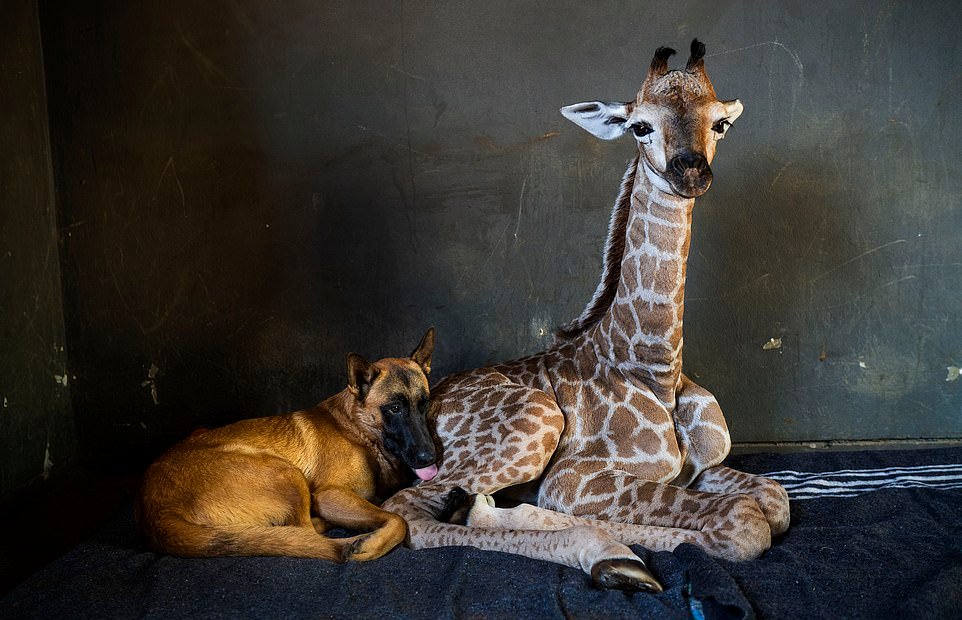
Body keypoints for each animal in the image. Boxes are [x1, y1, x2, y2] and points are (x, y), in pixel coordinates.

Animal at [133, 330, 436, 560]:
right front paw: (370, 544)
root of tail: (155, 514)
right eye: (394, 408)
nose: (429, 457)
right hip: (287, 473)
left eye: (424, 403)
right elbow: (397, 520)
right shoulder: (329, 495)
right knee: (305, 531)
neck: (360, 429)